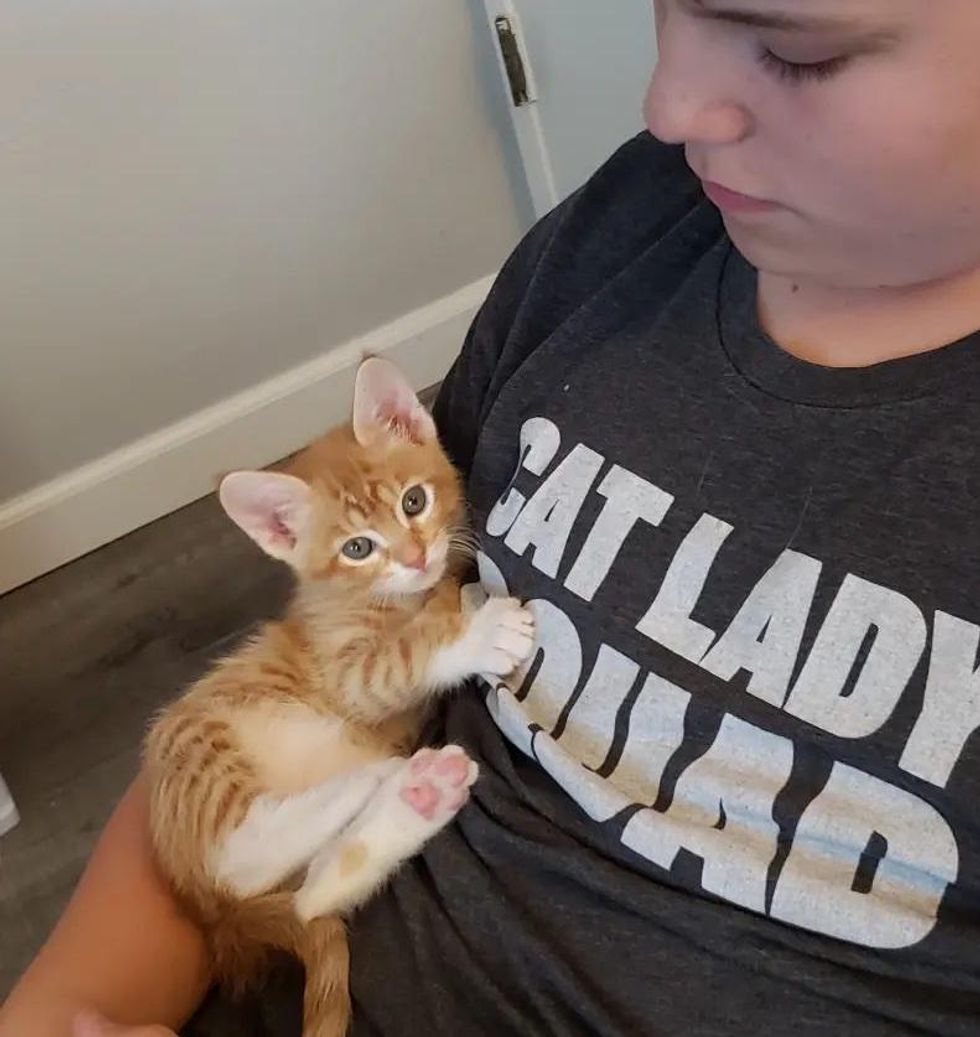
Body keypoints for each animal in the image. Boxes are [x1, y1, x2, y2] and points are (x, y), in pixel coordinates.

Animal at [141, 358, 530, 1037]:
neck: (391, 599)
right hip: (197, 749)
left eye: (413, 501)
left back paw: (416, 794)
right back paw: (376, 778)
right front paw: (476, 631)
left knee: (308, 900)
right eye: (357, 548)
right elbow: (406, 654)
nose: (416, 556)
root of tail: (211, 917)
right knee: (246, 853)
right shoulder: (346, 670)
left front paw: (462, 594)